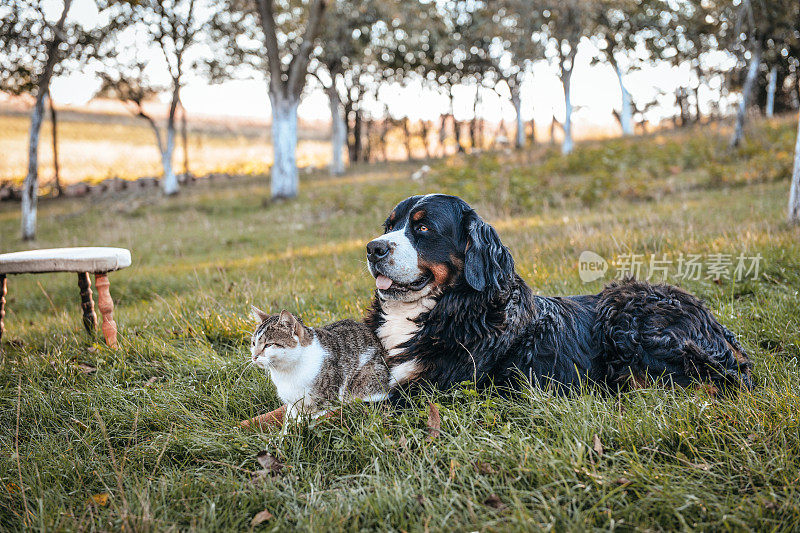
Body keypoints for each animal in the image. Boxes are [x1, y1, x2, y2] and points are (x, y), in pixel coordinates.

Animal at [248, 306, 390, 422]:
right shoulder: (292, 405)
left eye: (268, 345)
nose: (254, 356)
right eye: (254, 343)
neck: (286, 372)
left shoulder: (327, 402)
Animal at [366, 195, 752, 394]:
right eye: (390, 225)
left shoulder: (437, 386)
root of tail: (710, 319)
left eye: (423, 227)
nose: (373, 248)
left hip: (624, 311)